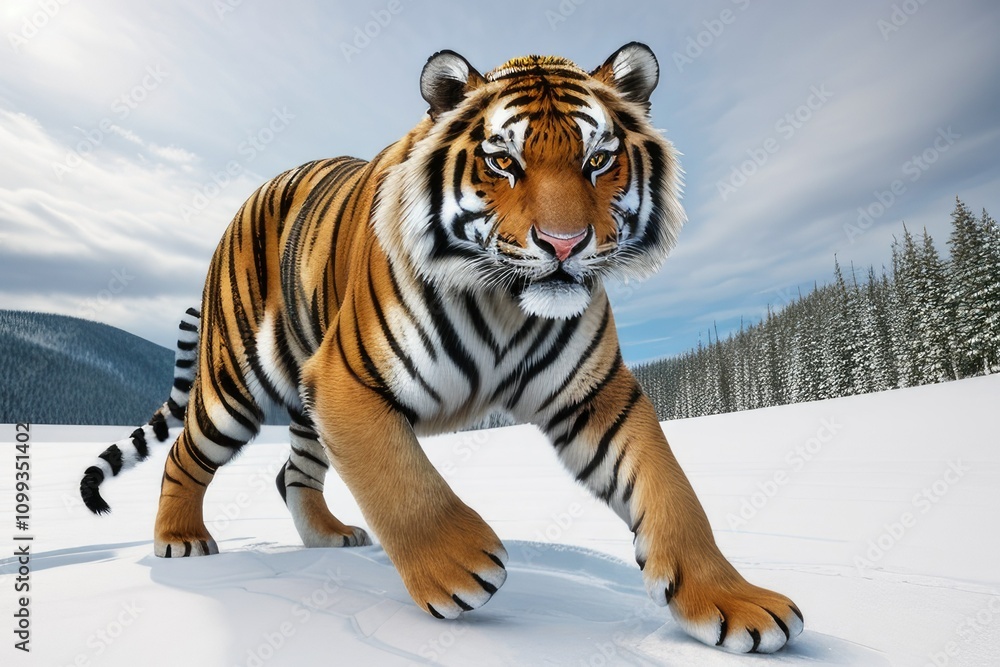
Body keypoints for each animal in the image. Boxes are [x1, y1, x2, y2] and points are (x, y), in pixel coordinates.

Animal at [79, 42, 802, 653]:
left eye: (598, 159)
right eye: (504, 160)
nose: (564, 244)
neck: (506, 302)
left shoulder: (597, 394)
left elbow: (670, 488)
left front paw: (735, 601)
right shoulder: (347, 380)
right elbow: (401, 478)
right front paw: (459, 567)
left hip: (304, 405)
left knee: (292, 471)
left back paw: (330, 536)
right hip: (236, 386)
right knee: (184, 453)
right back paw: (181, 540)